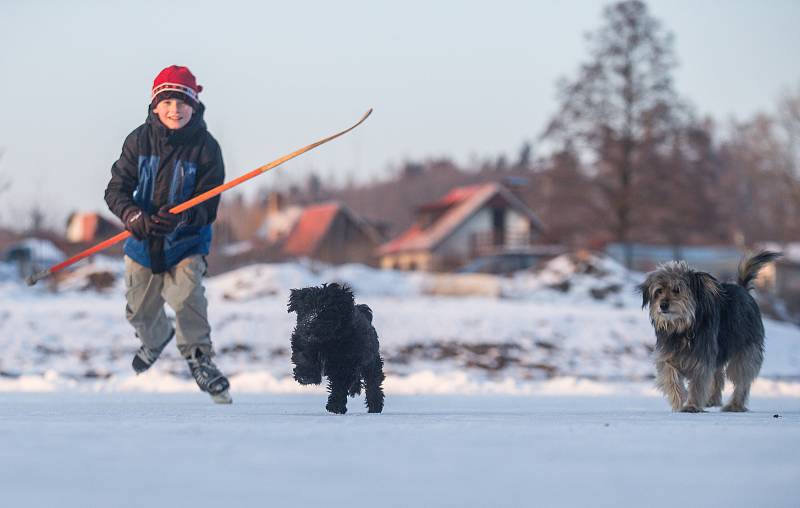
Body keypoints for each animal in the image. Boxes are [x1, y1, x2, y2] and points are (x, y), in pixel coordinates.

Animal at [290, 282, 386, 412]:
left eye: (326, 309)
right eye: (306, 308)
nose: (309, 324)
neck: (327, 341)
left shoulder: (345, 362)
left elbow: (339, 384)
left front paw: (335, 405)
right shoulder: (303, 341)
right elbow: (304, 357)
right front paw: (306, 375)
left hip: (371, 362)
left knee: (373, 383)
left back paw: (375, 406)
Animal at [636, 250, 780, 412]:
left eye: (677, 290)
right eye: (659, 291)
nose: (663, 305)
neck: (683, 328)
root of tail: (743, 289)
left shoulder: (702, 360)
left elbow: (698, 384)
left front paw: (691, 405)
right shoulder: (666, 355)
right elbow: (670, 376)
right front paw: (679, 401)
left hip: (745, 352)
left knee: (741, 380)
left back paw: (735, 405)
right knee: (718, 376)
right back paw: (712, 400)